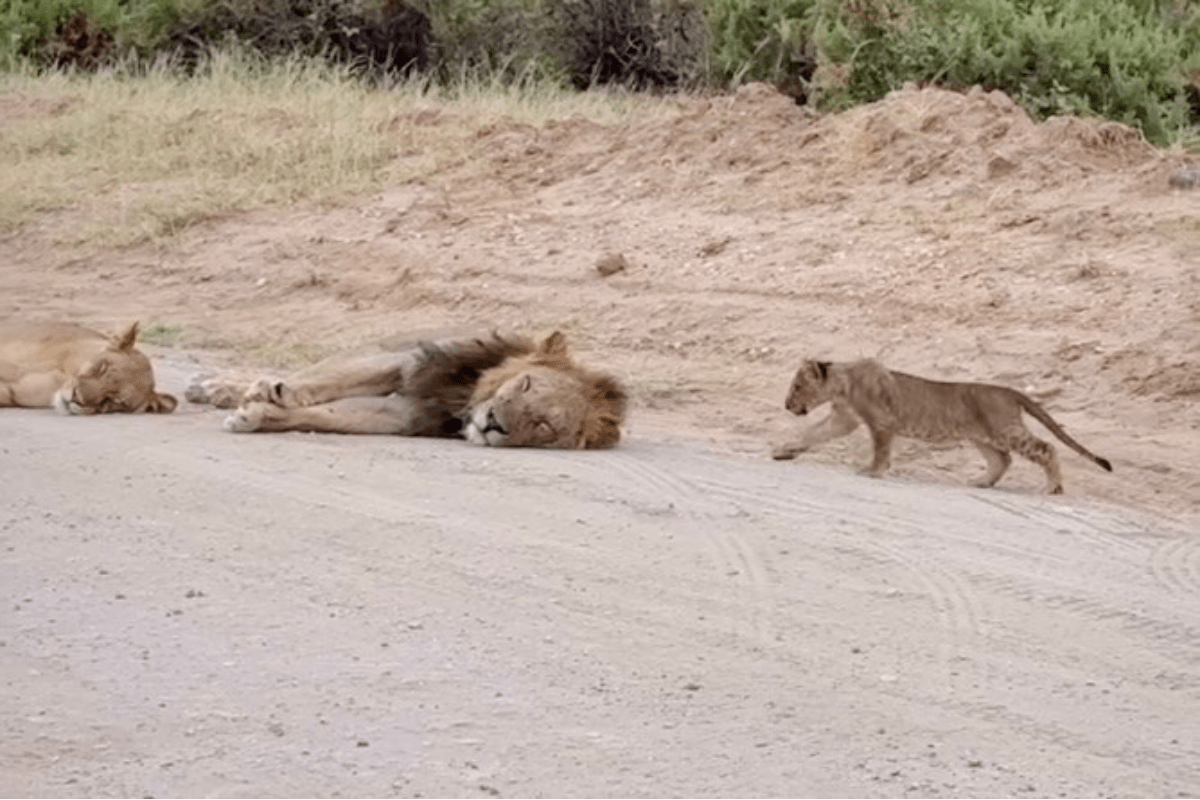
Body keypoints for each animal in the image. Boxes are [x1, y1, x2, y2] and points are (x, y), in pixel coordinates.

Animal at [186, 330, 628, 449]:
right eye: (526, 383)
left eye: (543, 426)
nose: (494, 423)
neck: (465, 401)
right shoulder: (410, 362)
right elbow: (329, 380)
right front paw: (271, 393)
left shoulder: (405, 416)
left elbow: (332, 415)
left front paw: (259, 414)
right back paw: (211, 386)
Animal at [771, 358, 1112, 494]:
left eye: (797, 386)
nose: (786, 405)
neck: (843, 383)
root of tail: (1008, 390)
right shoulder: (844, 419)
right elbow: (813, 433)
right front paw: (784, 451)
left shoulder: (881, 422)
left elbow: (880, 450)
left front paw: (872, 472)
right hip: (983, 437)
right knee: (1002, 460)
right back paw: (981, 482)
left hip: (1004, 430)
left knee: (1046, 448)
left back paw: (1053, 488)